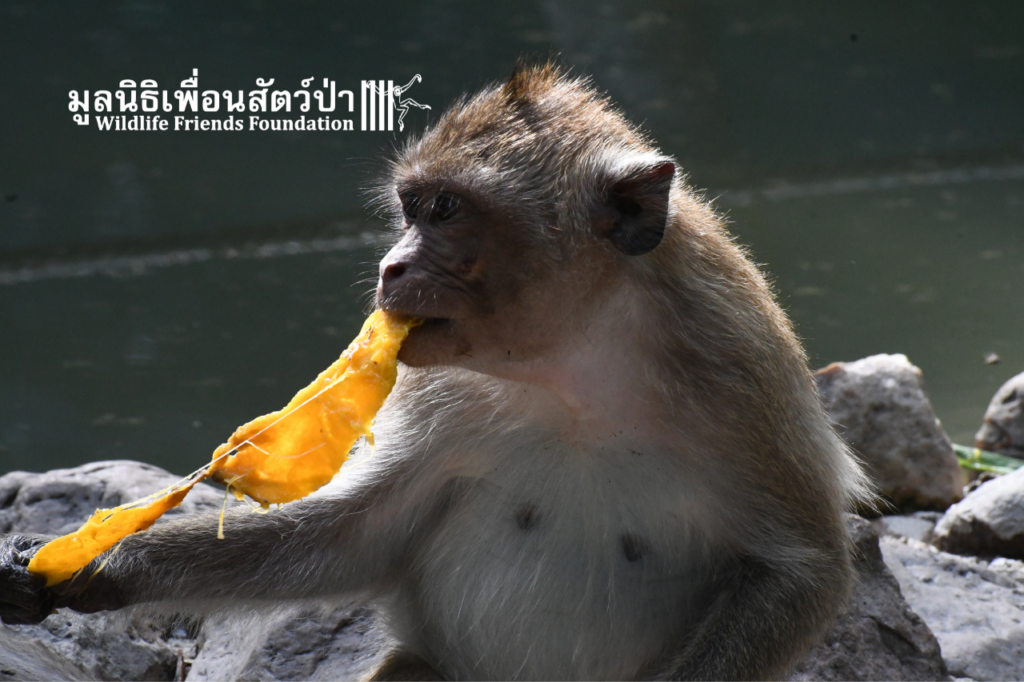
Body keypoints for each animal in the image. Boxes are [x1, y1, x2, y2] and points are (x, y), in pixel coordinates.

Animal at [0, 63, 871, 680]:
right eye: (410, 208)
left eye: (446, 211)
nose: (391, 267)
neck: (576, 369)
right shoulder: (435, 388)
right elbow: (358, 535)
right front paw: (105, 564)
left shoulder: (738, 374)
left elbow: (801, 570)